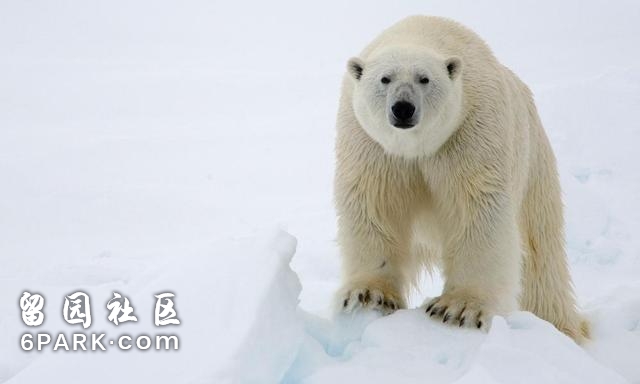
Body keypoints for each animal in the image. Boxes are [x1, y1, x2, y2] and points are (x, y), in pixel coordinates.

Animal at [336, 15, 592, 344]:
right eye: (385, 79)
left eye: (424, 79)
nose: (403, 108)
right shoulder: (371, 145)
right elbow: (375, 205)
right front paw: (368, 295)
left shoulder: (471, 130)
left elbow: (478, 210)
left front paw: (458, 309)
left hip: (533, 161)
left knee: (541, 252)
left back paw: (560, 325)